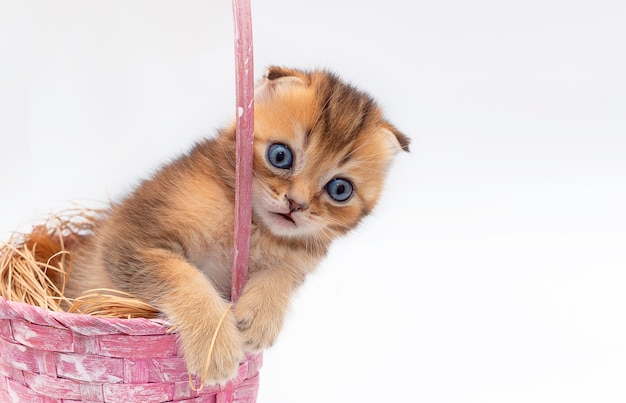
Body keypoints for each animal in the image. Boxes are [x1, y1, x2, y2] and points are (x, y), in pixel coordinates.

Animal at [63, 67, 408, 386]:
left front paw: (259, 317)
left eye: (340, 189)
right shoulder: (129, 235)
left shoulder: (299, 262)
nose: (296, 203)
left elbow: (282, 271)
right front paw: (214, 345)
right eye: (280, 155)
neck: (256, 227)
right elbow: (183, 276)